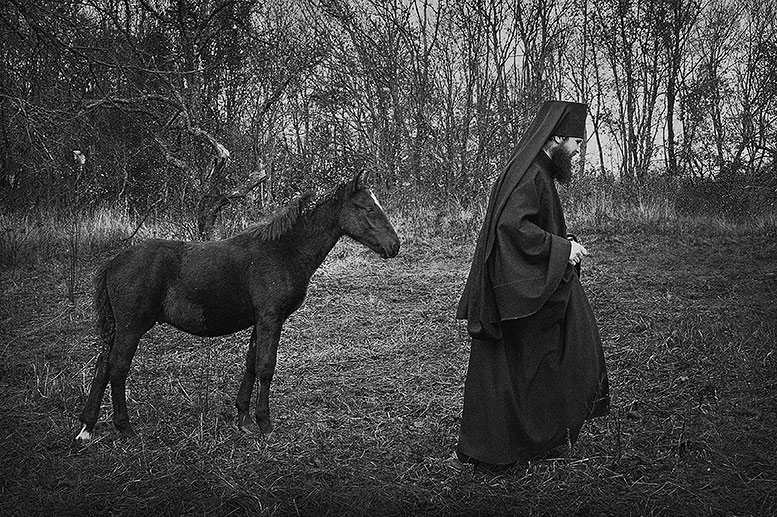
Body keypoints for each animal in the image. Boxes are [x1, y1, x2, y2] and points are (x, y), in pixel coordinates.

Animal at [76, 173, 400, 440]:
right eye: (367, 208)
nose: (395, 246)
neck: (284, 251)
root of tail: (113, 262)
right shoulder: (271, 319)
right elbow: (266, 366)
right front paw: (265, 423)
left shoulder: (260, 321)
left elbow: (251, 364)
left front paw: (243, 417)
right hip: (131, 327)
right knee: (118, 368)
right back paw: (125, 427)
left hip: (116, 329)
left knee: (102, 365)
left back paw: (87, 427)